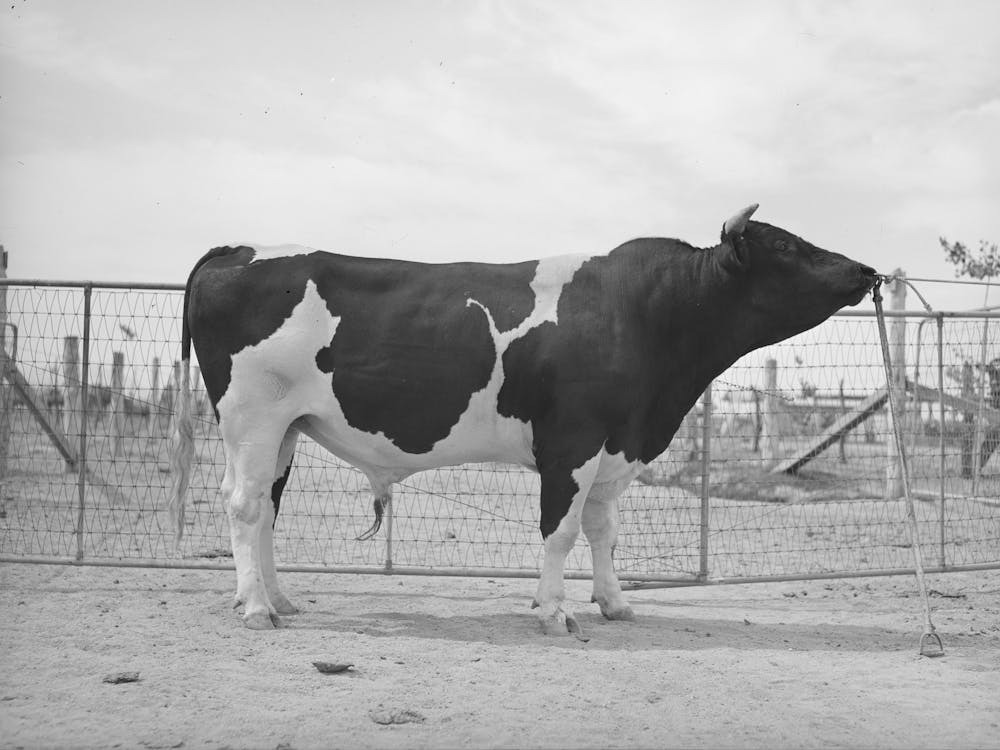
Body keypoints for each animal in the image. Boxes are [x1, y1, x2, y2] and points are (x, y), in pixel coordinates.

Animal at [169, 203, 877, 634]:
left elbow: (603, 530)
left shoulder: (616, 445)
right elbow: (559, 532)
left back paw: (279, 599)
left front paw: (614, 602)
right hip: (253, 419)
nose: (867, 269)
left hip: (286, 429)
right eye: (783, 243)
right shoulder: (573, 440)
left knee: (267, 507)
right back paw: (255, 608)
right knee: (243, 504)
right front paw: (553, 613)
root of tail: (241, 248)